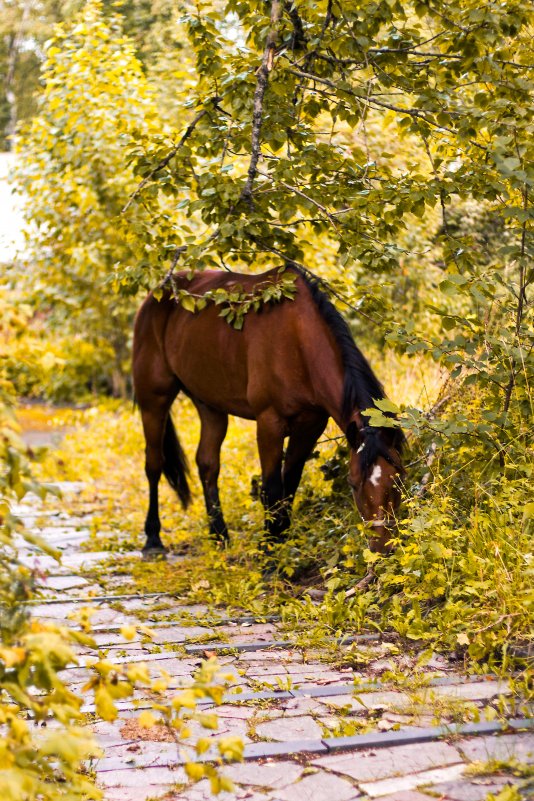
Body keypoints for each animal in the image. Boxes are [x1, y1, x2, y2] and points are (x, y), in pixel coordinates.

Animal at [132, 262, 404, 556]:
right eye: (353, 484)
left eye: (397, 480)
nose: (382, 546)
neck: (298, 340)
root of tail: (158, 293)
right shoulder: (269, 423)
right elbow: (272, 489)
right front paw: (270, 549)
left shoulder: (310, 425)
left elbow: (290, 483)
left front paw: (281, 538)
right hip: (153, 400)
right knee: (154, 463)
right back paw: (153, 538)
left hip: (210, 405)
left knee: (207, 464)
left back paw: (219, 535)